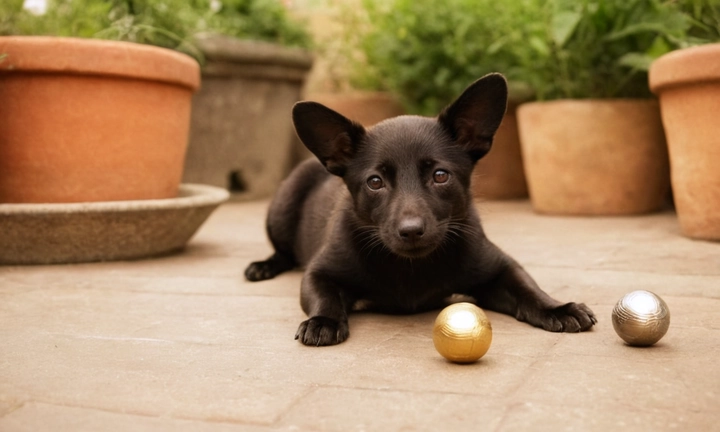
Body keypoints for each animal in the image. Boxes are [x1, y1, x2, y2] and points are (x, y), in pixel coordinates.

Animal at [245, 72, 592, 346]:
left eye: (440, 176)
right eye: (375, 182)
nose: (411, 231)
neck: (410, 267)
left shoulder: (501, 267)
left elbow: (527, 287)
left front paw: (557, 307)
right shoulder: (319, 271)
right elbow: (324, 295)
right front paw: (323, 322)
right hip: (283, 204)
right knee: (283, 252)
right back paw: (263, 266)